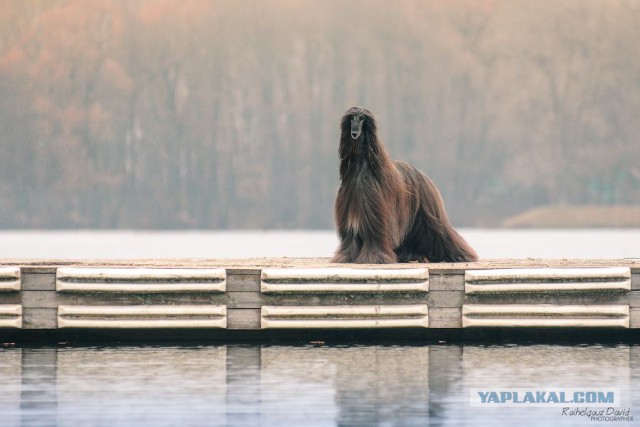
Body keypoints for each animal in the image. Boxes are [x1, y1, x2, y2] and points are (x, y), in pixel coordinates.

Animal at [332, 106, 478, 264]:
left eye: (362, 118)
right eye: (351, 118)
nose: (354, 133)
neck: (361, 167)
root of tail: (422, 174)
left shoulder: (375, 215)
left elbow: (374, 237)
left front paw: (373, 258)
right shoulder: (351, 216)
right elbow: (350, 239)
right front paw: (346, 257)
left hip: (429, 214)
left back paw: (462, 255)